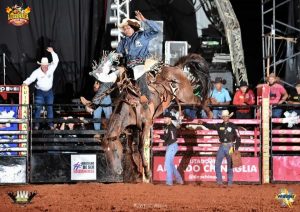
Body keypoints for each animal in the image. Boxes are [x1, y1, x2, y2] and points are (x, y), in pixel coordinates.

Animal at [88, 52, 212, 180]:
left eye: (115, 149)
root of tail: (176, 68)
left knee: (200, 100)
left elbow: (141, 146)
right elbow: (131, 149)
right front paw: (137, 170)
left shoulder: (147, 124)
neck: (131, 107)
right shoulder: (132, 128)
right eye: (105, 152)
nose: (116, 171)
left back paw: (208, 112)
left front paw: (147, 172)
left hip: (186, 96)